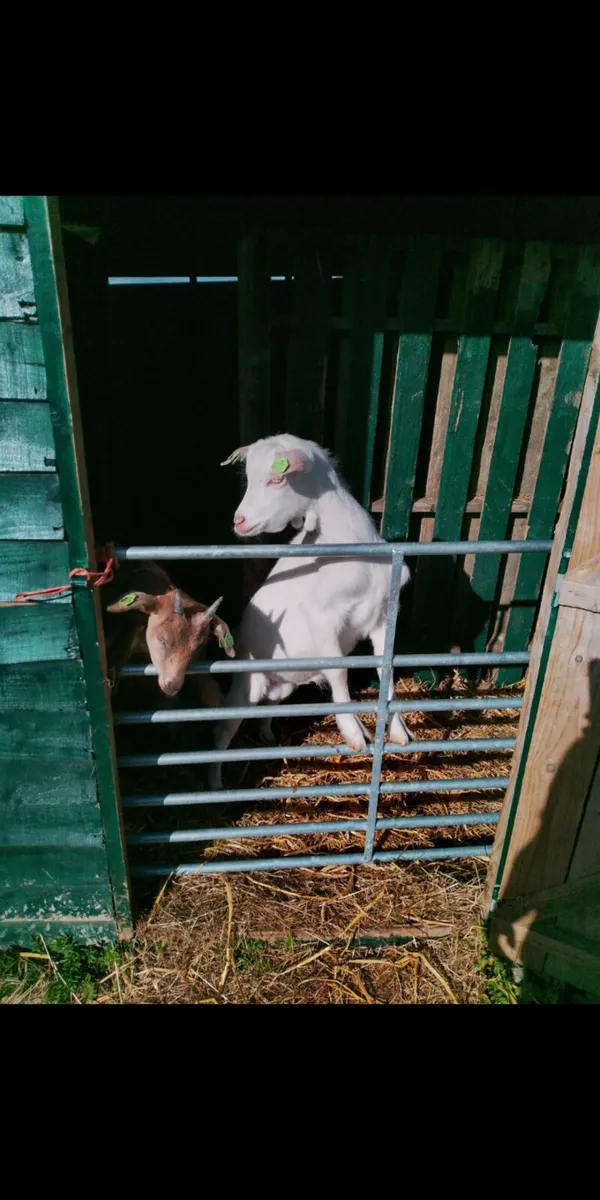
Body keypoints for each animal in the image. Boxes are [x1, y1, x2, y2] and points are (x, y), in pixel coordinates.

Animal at [211, 434, 410, 789]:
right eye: (248, 477)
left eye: (276, 479)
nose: (239, 521)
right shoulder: (323, 618)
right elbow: (339, 672)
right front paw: (353, 732)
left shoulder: (383, 617)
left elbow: (386, 668)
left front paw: (398, 729)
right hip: (246, 683)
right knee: (222, 730)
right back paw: (215, 784)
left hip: (283, 686)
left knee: (268, 707)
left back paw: (268, 736)